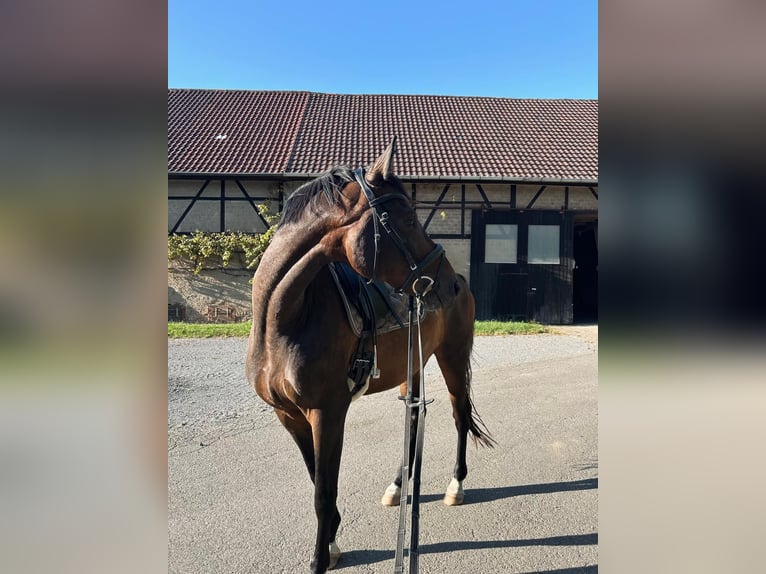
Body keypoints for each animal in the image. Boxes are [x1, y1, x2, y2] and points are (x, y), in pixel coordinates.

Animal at [245, 139, 494, 573]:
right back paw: (397, 487)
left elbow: (323, 492)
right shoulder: (289, 415)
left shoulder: (328, 413)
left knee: (460, 413)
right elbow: (316, 479)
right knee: (413, 417)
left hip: (452, 356)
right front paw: (330, 542)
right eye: (407, 219)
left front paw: (320, 557)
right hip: (414, 364)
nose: (445, 283)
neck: (284, 320)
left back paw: (455, 485)